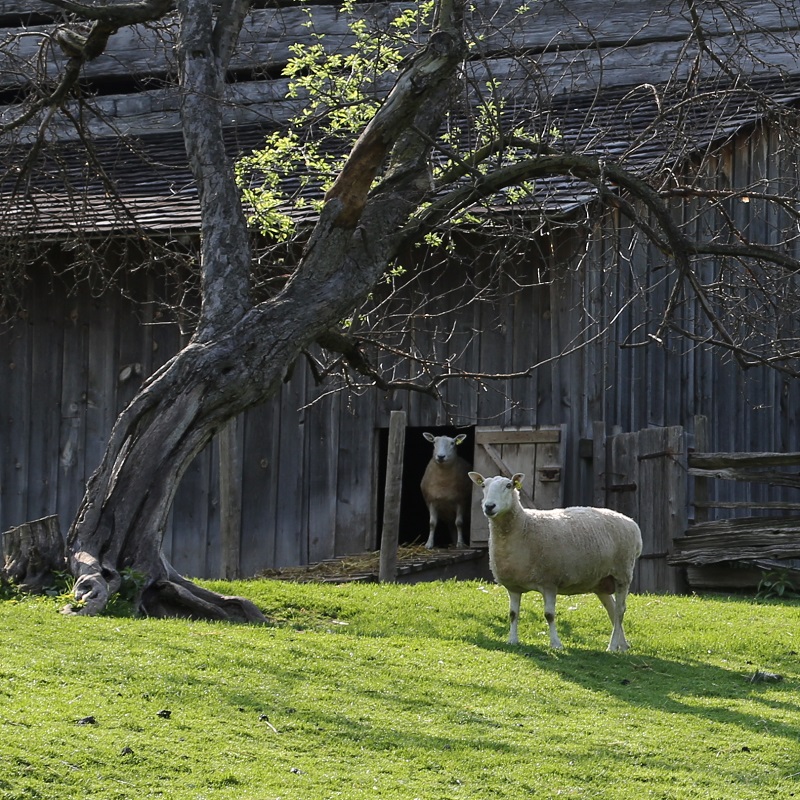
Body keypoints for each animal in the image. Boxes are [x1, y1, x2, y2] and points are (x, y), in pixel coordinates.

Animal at [468, 468, 644, 648]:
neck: (524, 526)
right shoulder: (514, 586)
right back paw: (622, 646)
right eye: (483, 485)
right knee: (612, 609)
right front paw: (512, 640)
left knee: (620, 610)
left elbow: (549, 615)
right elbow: (512, 614)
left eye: (509, 485)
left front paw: (556, 644)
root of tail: (631, 522)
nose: (489, 506)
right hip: (601, 580)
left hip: (622, 573)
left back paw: (612, 646)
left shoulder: (549, 582)